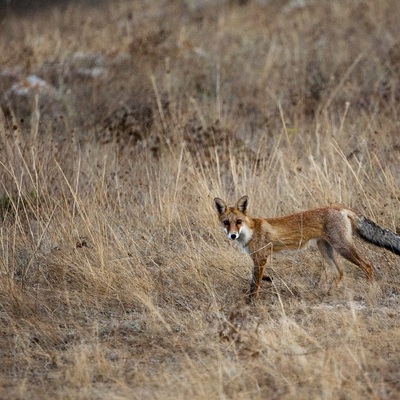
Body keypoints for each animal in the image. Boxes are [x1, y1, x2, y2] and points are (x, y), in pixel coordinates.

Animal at [214, 195, 400, 302]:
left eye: (238, 222)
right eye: (226, 223)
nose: (232, 236)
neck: (250, 231)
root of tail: (339, 207)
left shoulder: (261, 258)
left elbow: (255, 284)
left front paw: (251, 302)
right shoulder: (258, 259)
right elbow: (256, 281)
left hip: (343, 248)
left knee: (367, 266)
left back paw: (371, 291)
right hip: (326, 250)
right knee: (340, 272)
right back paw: (328, 294)